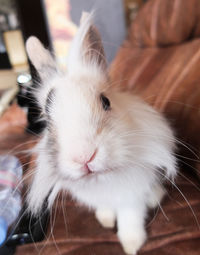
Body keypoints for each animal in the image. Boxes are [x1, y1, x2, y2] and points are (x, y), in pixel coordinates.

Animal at [25, 12, 177, 255]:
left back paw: (154, 199)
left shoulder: (132, 197)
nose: (84, 157)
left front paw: (132, 245)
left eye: (106, 102)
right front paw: (106, 220)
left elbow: (130, 219)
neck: (103, 178)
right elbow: (105, 208)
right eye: (46, 120)